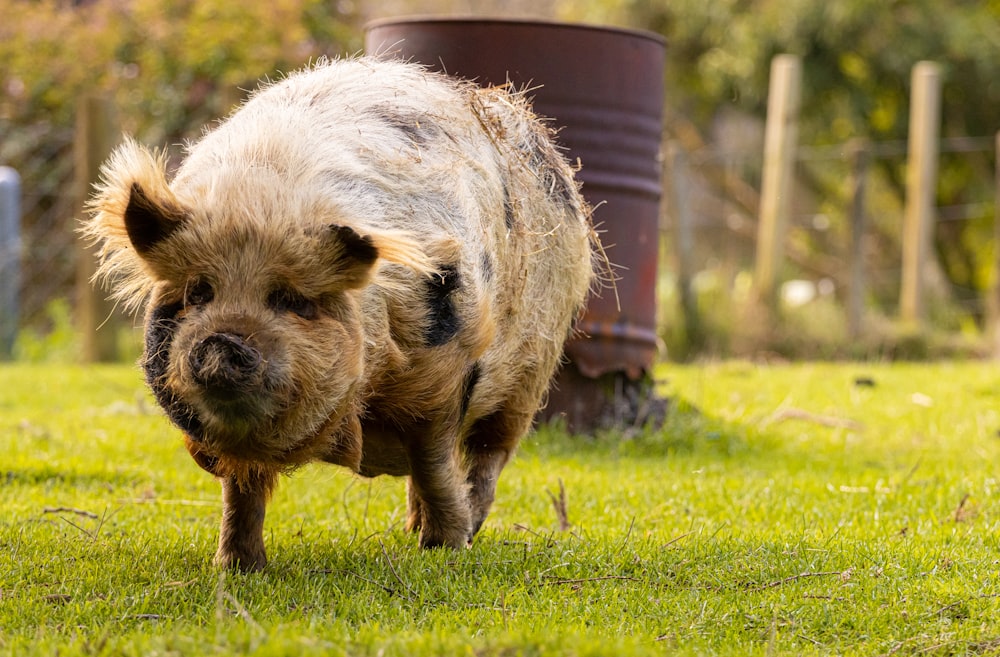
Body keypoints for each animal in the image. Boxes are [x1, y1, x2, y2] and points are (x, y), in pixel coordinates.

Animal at [82, 55, 596, 568]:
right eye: (198, 293)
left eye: (292, 300)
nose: (222, 342)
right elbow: (241, 490)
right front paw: (237, 567)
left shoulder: (444, 373)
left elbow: (433, 462)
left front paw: (445, 549)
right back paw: (411, 528)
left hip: (530, 376)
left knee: (487, 458)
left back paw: (461, 528)